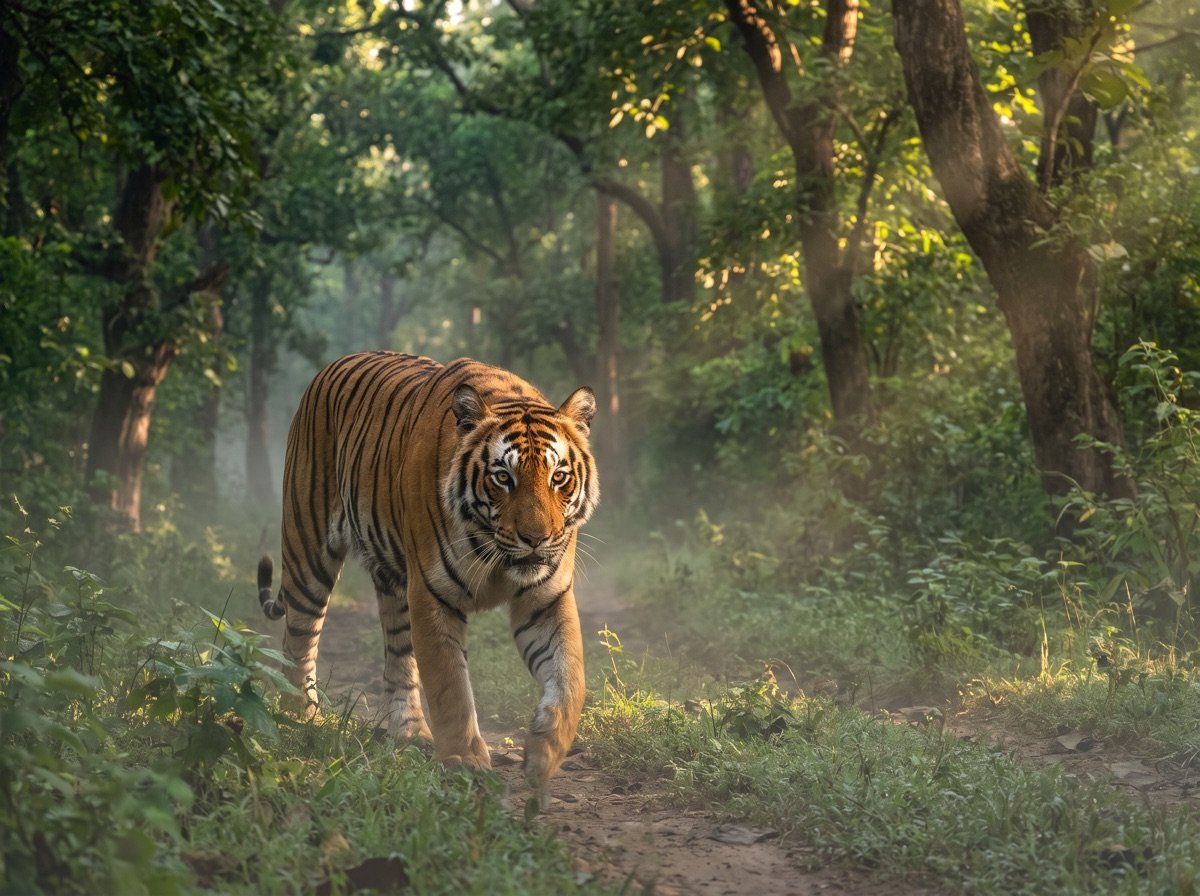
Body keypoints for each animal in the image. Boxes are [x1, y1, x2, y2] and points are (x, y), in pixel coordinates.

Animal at [256, 351, 599, 794]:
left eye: (559, 476)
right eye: (503, 477)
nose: (536, 539)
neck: (497, 556)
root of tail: (332, 366)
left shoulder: (546, 599)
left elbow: (569, 677)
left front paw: (545, 750)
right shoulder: (433, 595)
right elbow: (449, 684)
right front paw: (464, 762)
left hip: (394, 584)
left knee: (398, 661)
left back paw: (411, 734)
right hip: (308, 549)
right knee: (298, 642)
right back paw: (299, 721)